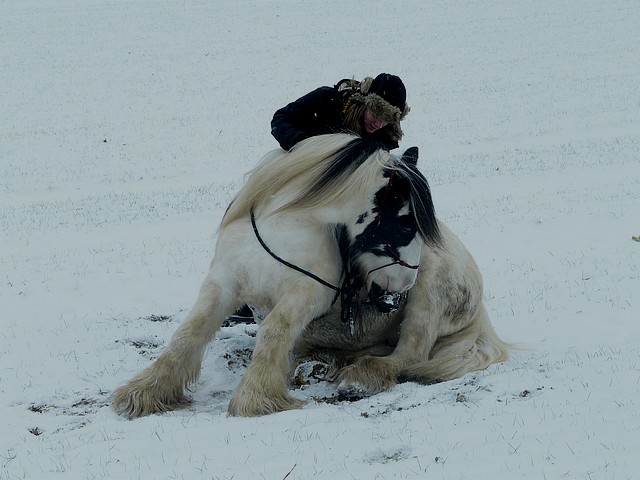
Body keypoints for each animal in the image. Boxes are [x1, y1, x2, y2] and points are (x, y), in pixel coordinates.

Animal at [111, 133, 510, 418]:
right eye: (406, 224)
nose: (403, 286)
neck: (282, 231)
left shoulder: (306, 294)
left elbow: (273, 330)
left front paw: (256, 397)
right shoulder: (222, 284)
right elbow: (187, 334)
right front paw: (146, 392)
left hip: (429, 298)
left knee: (410, 354)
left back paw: (362, 376)